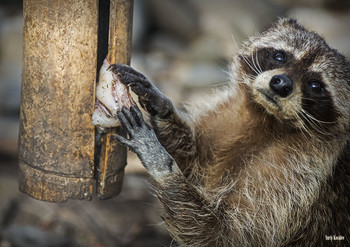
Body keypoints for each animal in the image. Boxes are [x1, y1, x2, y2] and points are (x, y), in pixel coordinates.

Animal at [112, 18, 350, 246]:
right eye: (280, 56)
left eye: (316, 85)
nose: (281, 84)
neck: (266, 121)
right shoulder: (226, 122)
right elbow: (194, 158)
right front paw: (162, 107)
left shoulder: (297, 177)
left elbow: (226, 234)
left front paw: (160, 160)